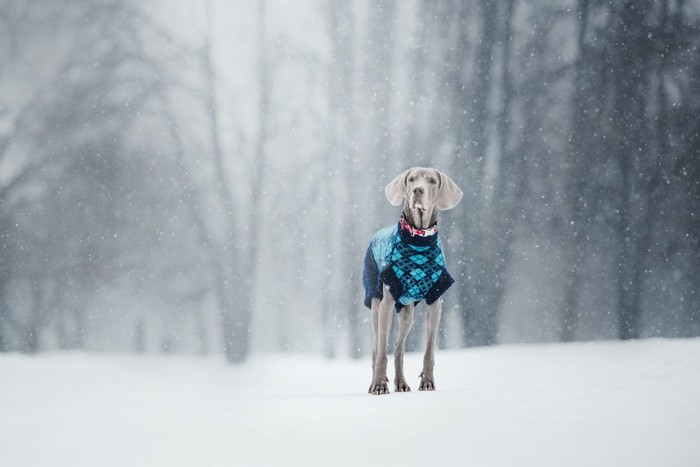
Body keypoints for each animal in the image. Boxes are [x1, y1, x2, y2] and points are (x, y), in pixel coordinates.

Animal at [360, 168, 464, 394]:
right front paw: (380, 385)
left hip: (407, 311)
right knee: (377, 348)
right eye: (412, 179)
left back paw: (401, 383)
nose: (418, 190)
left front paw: (428, 382)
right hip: (375, 301)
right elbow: (381, 353)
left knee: (398, 346)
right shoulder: (387, 302)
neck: (419, 239)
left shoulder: (436, 298)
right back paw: (374, 383)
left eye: (432, 181)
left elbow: (429, 350)